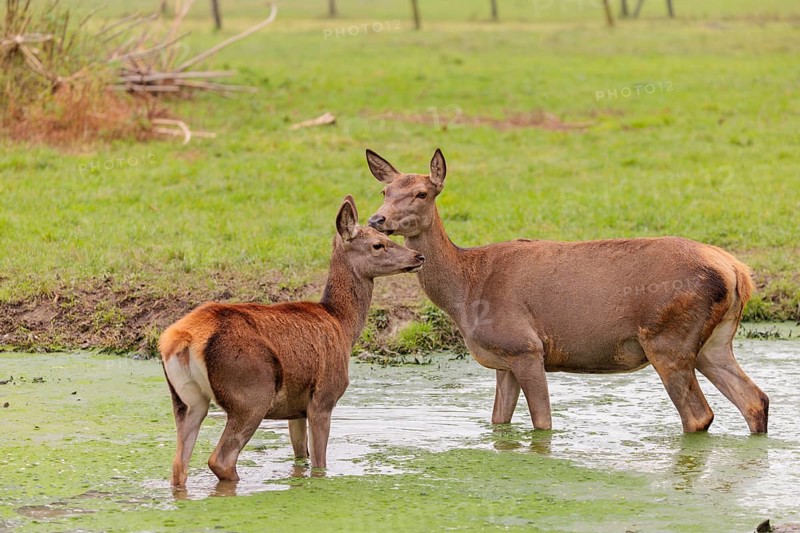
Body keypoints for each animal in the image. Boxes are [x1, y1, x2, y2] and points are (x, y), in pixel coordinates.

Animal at [159, 195, 425, 487]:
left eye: (386, 236)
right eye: (378, 244)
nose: (418, 256)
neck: (342, 324)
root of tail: (182, 340)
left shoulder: (294, 409)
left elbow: (301, 456)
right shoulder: (323, 396)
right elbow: (319, 463)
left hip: (186, 400)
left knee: (178, 465)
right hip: (250, 392)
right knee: (221, 459)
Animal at [365, 148, 769, 435]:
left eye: (421, 193)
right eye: (385, 190)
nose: (377, 219)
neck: (465, 289)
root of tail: (737, 271)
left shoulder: (525, 346)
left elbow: (543, 423)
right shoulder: (504, 359)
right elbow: (498, 422)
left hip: (668, 338)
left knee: (699, 415)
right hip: (714, 342)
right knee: (755, 400)